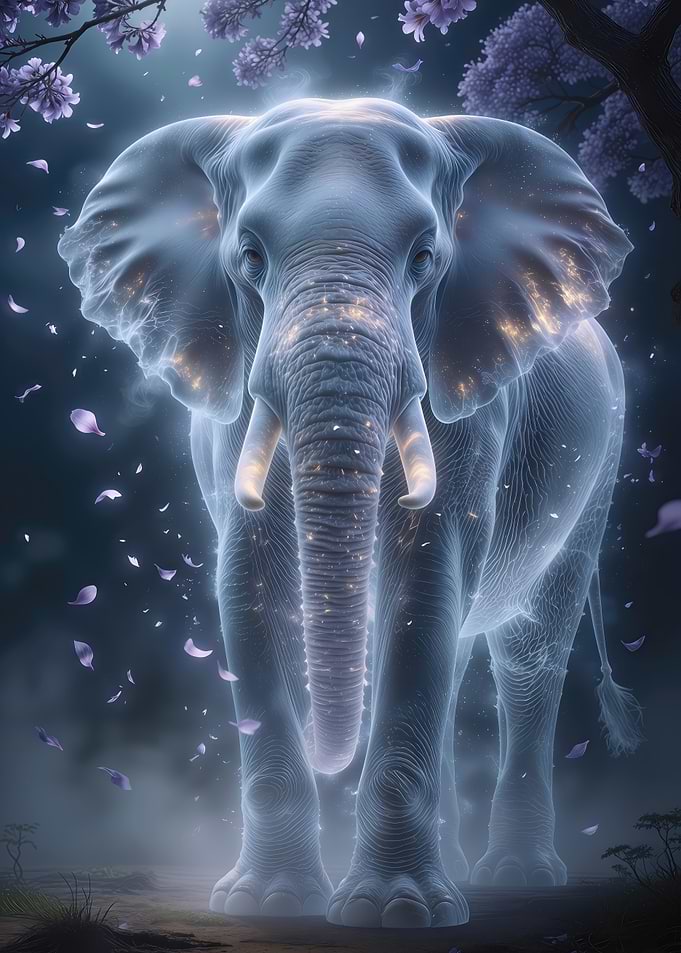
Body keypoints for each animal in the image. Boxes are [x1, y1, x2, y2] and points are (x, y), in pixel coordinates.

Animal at [58, 98, 642, 929]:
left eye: (425, 257)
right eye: (249, 257)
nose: (332, 754)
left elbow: (423, 582)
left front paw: (393, 911)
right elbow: (250, 587)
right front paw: (267, 902)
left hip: (595, 471)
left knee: (527, 654)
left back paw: (518, 876)